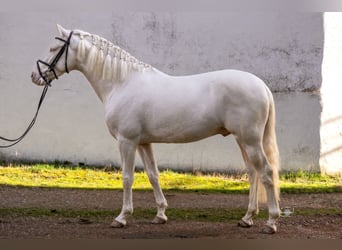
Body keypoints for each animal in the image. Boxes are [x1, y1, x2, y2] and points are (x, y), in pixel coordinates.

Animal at [30, 24, 280, 233]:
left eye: (54, 48)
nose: (35, 76)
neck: (122, 83)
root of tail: (262, 86)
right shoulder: (143, 142)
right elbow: (153, 175)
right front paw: (160, 214)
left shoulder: (127, 141)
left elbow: (127, 177)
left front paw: (122, 217)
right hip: (242, 140)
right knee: (253, 173)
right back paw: (247, 218)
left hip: (250, 140)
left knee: (266, 172)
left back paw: (271, 222)